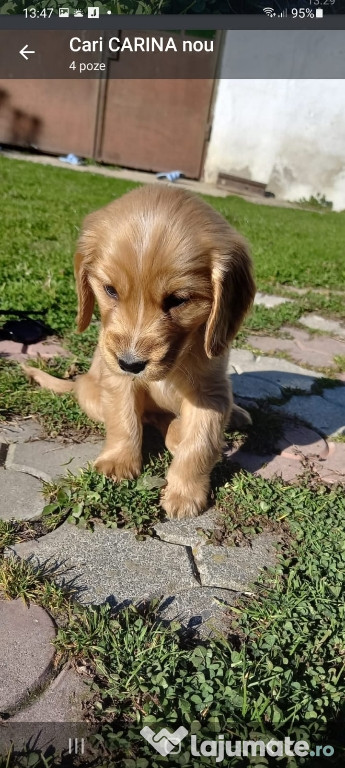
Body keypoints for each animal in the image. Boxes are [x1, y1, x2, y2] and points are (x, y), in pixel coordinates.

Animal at [24, 185, 254, 520]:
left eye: (178, 300)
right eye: (110, 290)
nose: (131, 363)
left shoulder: (212, 393)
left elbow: (200, 443)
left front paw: (185, 493)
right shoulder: (117, 377)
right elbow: (124, 420)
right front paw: (119, 462)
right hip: (92, 394)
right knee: (151, 417)